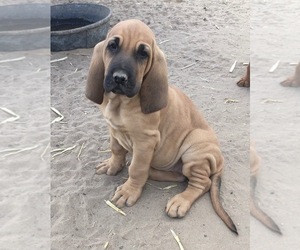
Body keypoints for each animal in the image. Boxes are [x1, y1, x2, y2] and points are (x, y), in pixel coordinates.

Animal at [86, 19, 237, 234]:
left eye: (143, 54)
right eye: (112, 46)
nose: (119, 78)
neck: (120, 103)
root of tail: (220, 161)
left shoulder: (145, 142)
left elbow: (136, 168)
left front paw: (129, 191)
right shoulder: (113, 130)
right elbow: (116, 150)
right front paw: (113, 165)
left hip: (195, 148)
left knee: (202, 182)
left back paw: (180, 201)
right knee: (180, 177)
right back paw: (154, 173)